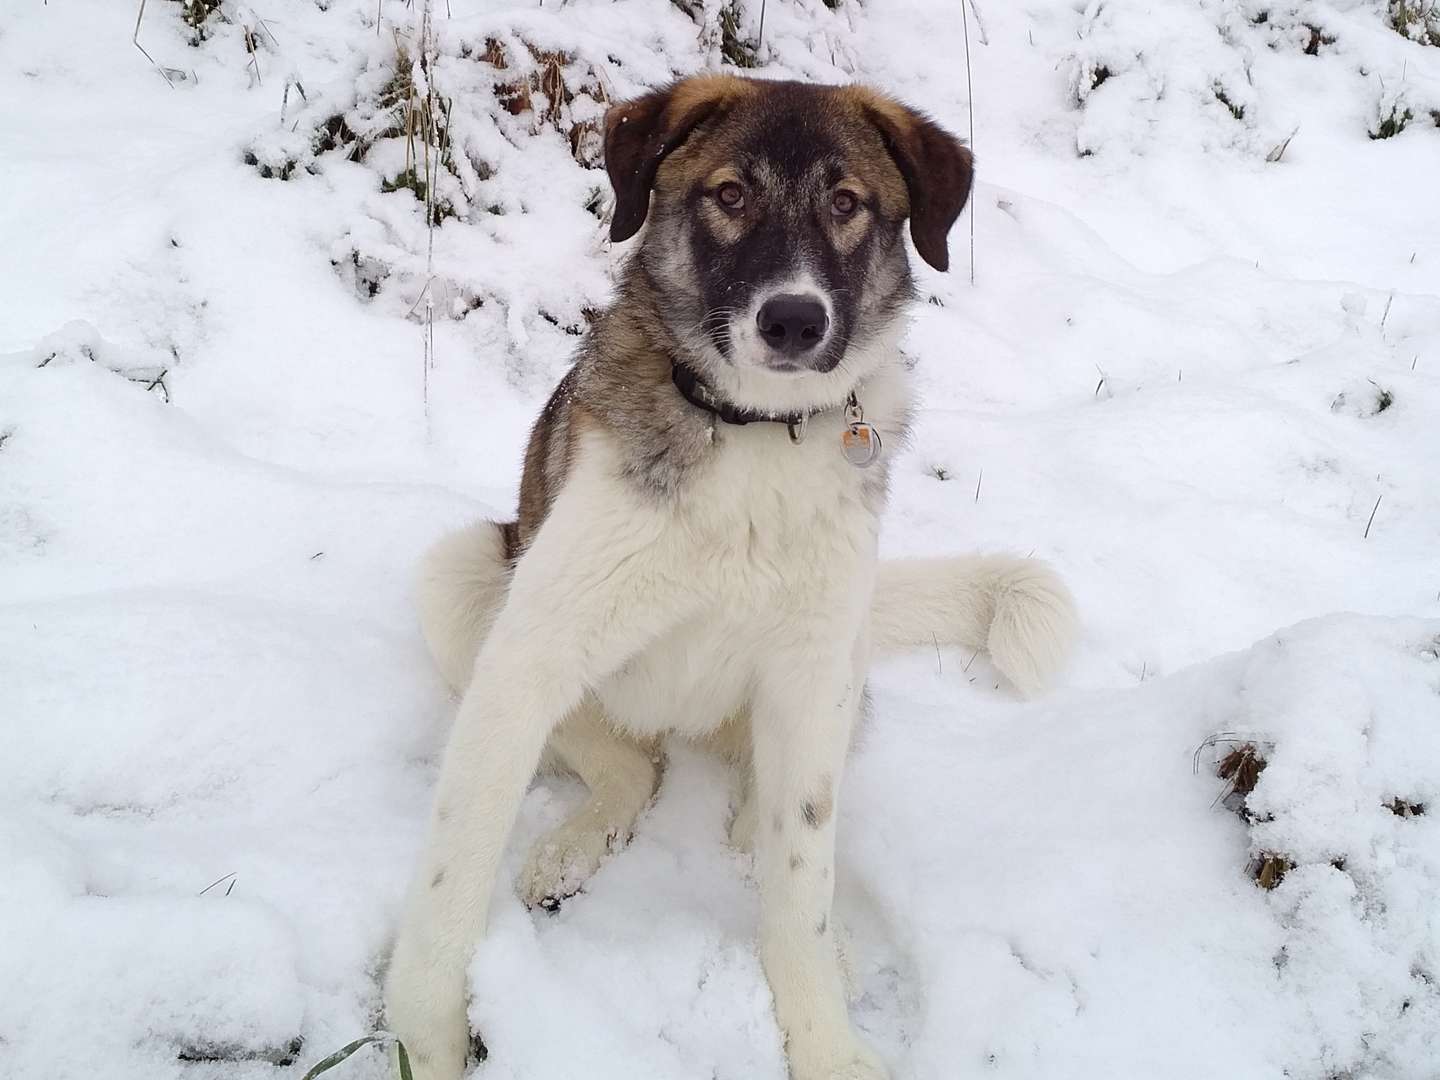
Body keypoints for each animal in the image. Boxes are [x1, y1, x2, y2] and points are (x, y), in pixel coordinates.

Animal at [385, 72, 1082, 1077]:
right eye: (729, 194)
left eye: (847, 203)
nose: (793, 320)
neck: (756, 431)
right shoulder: (526, 658)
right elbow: (452, 872)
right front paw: (421, 1036)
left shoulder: (810, 671)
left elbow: (801, 888)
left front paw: (826, 1042)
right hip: (467, 582)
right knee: (626, 765)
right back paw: (573, 845)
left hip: (838, 665)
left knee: (771, 812)